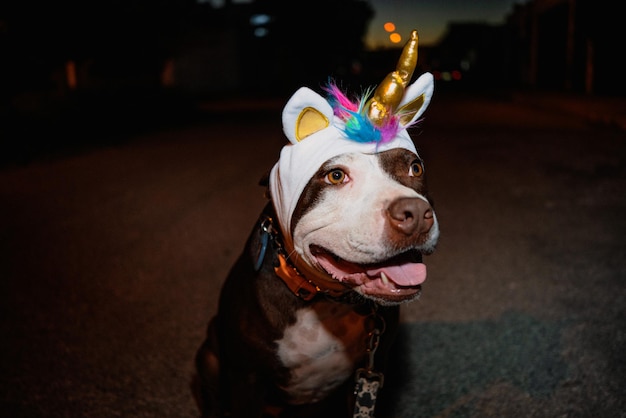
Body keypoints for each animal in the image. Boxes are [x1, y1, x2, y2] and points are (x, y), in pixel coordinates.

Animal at [197, 31, 436, 416]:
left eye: (415, 167)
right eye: (335, 175)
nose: (415, 215)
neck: (323, 299)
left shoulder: (372, 369)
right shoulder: (244, 380)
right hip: (207, 357)